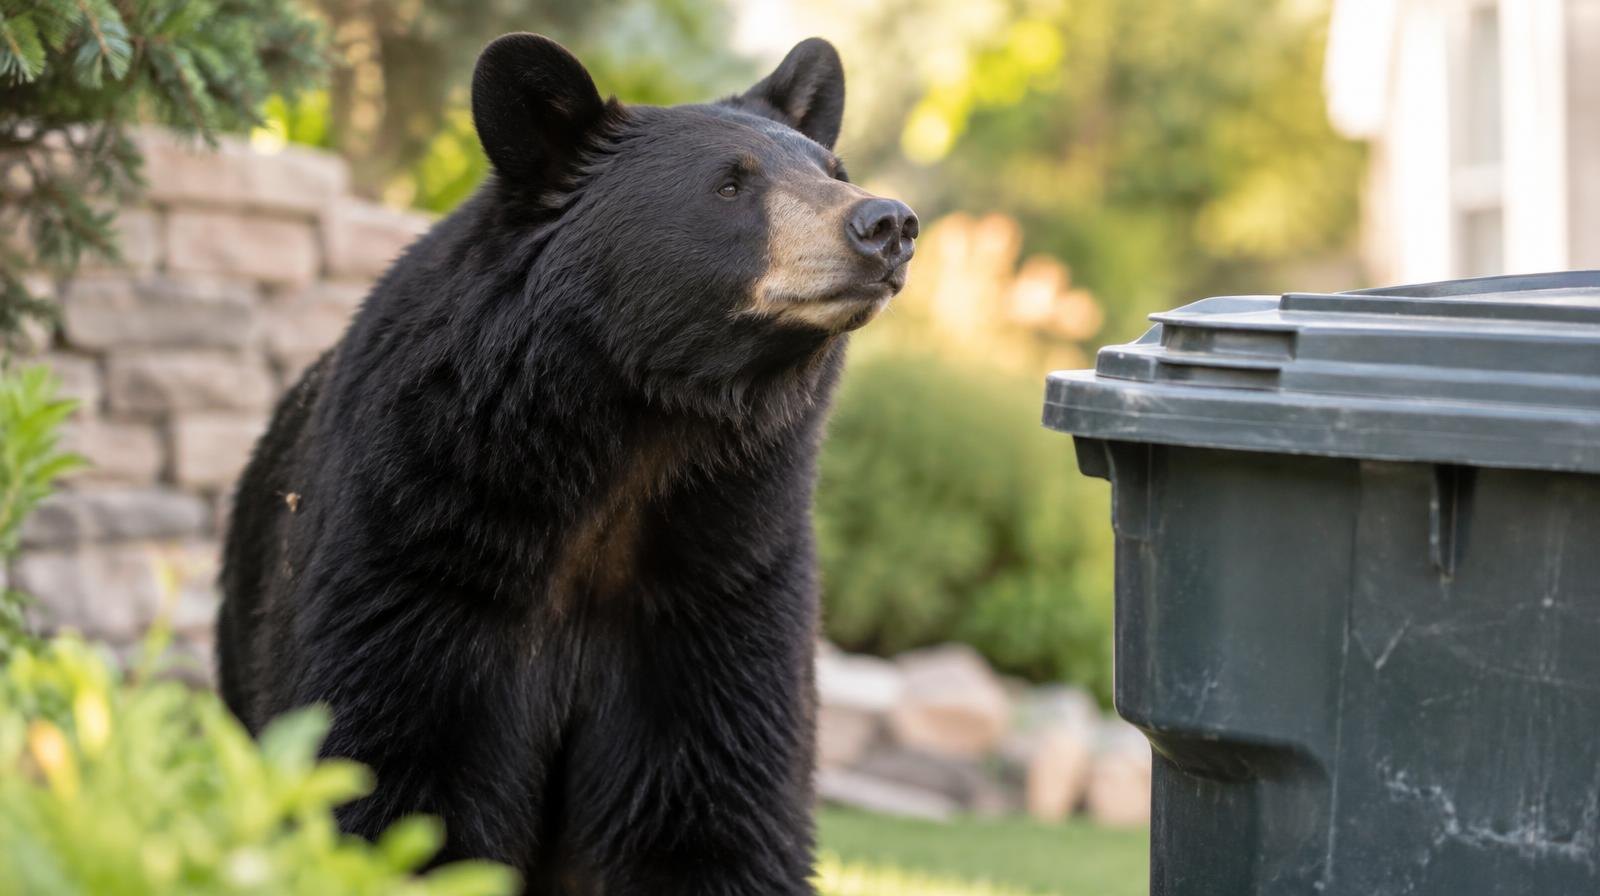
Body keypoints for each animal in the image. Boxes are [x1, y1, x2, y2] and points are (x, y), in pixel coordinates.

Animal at [215, 32, 917, 895]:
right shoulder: (410, 552)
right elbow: (388, 773)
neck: (630, 443)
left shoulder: (724, 575)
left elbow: (712, 800)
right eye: (730, 184)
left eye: (833, 170)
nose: (886, 222)